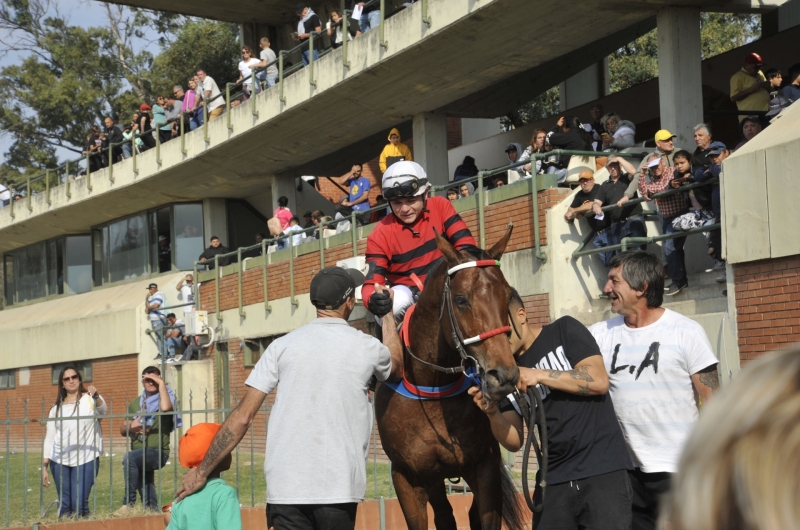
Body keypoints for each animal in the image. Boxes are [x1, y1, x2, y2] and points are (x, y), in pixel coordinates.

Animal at [374, 225, 524, 528]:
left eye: (507, 295)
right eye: (461, 299)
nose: (503, 375)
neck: (432, 388)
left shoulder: (484, 464)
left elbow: (483, 516)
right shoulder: (406, 475)